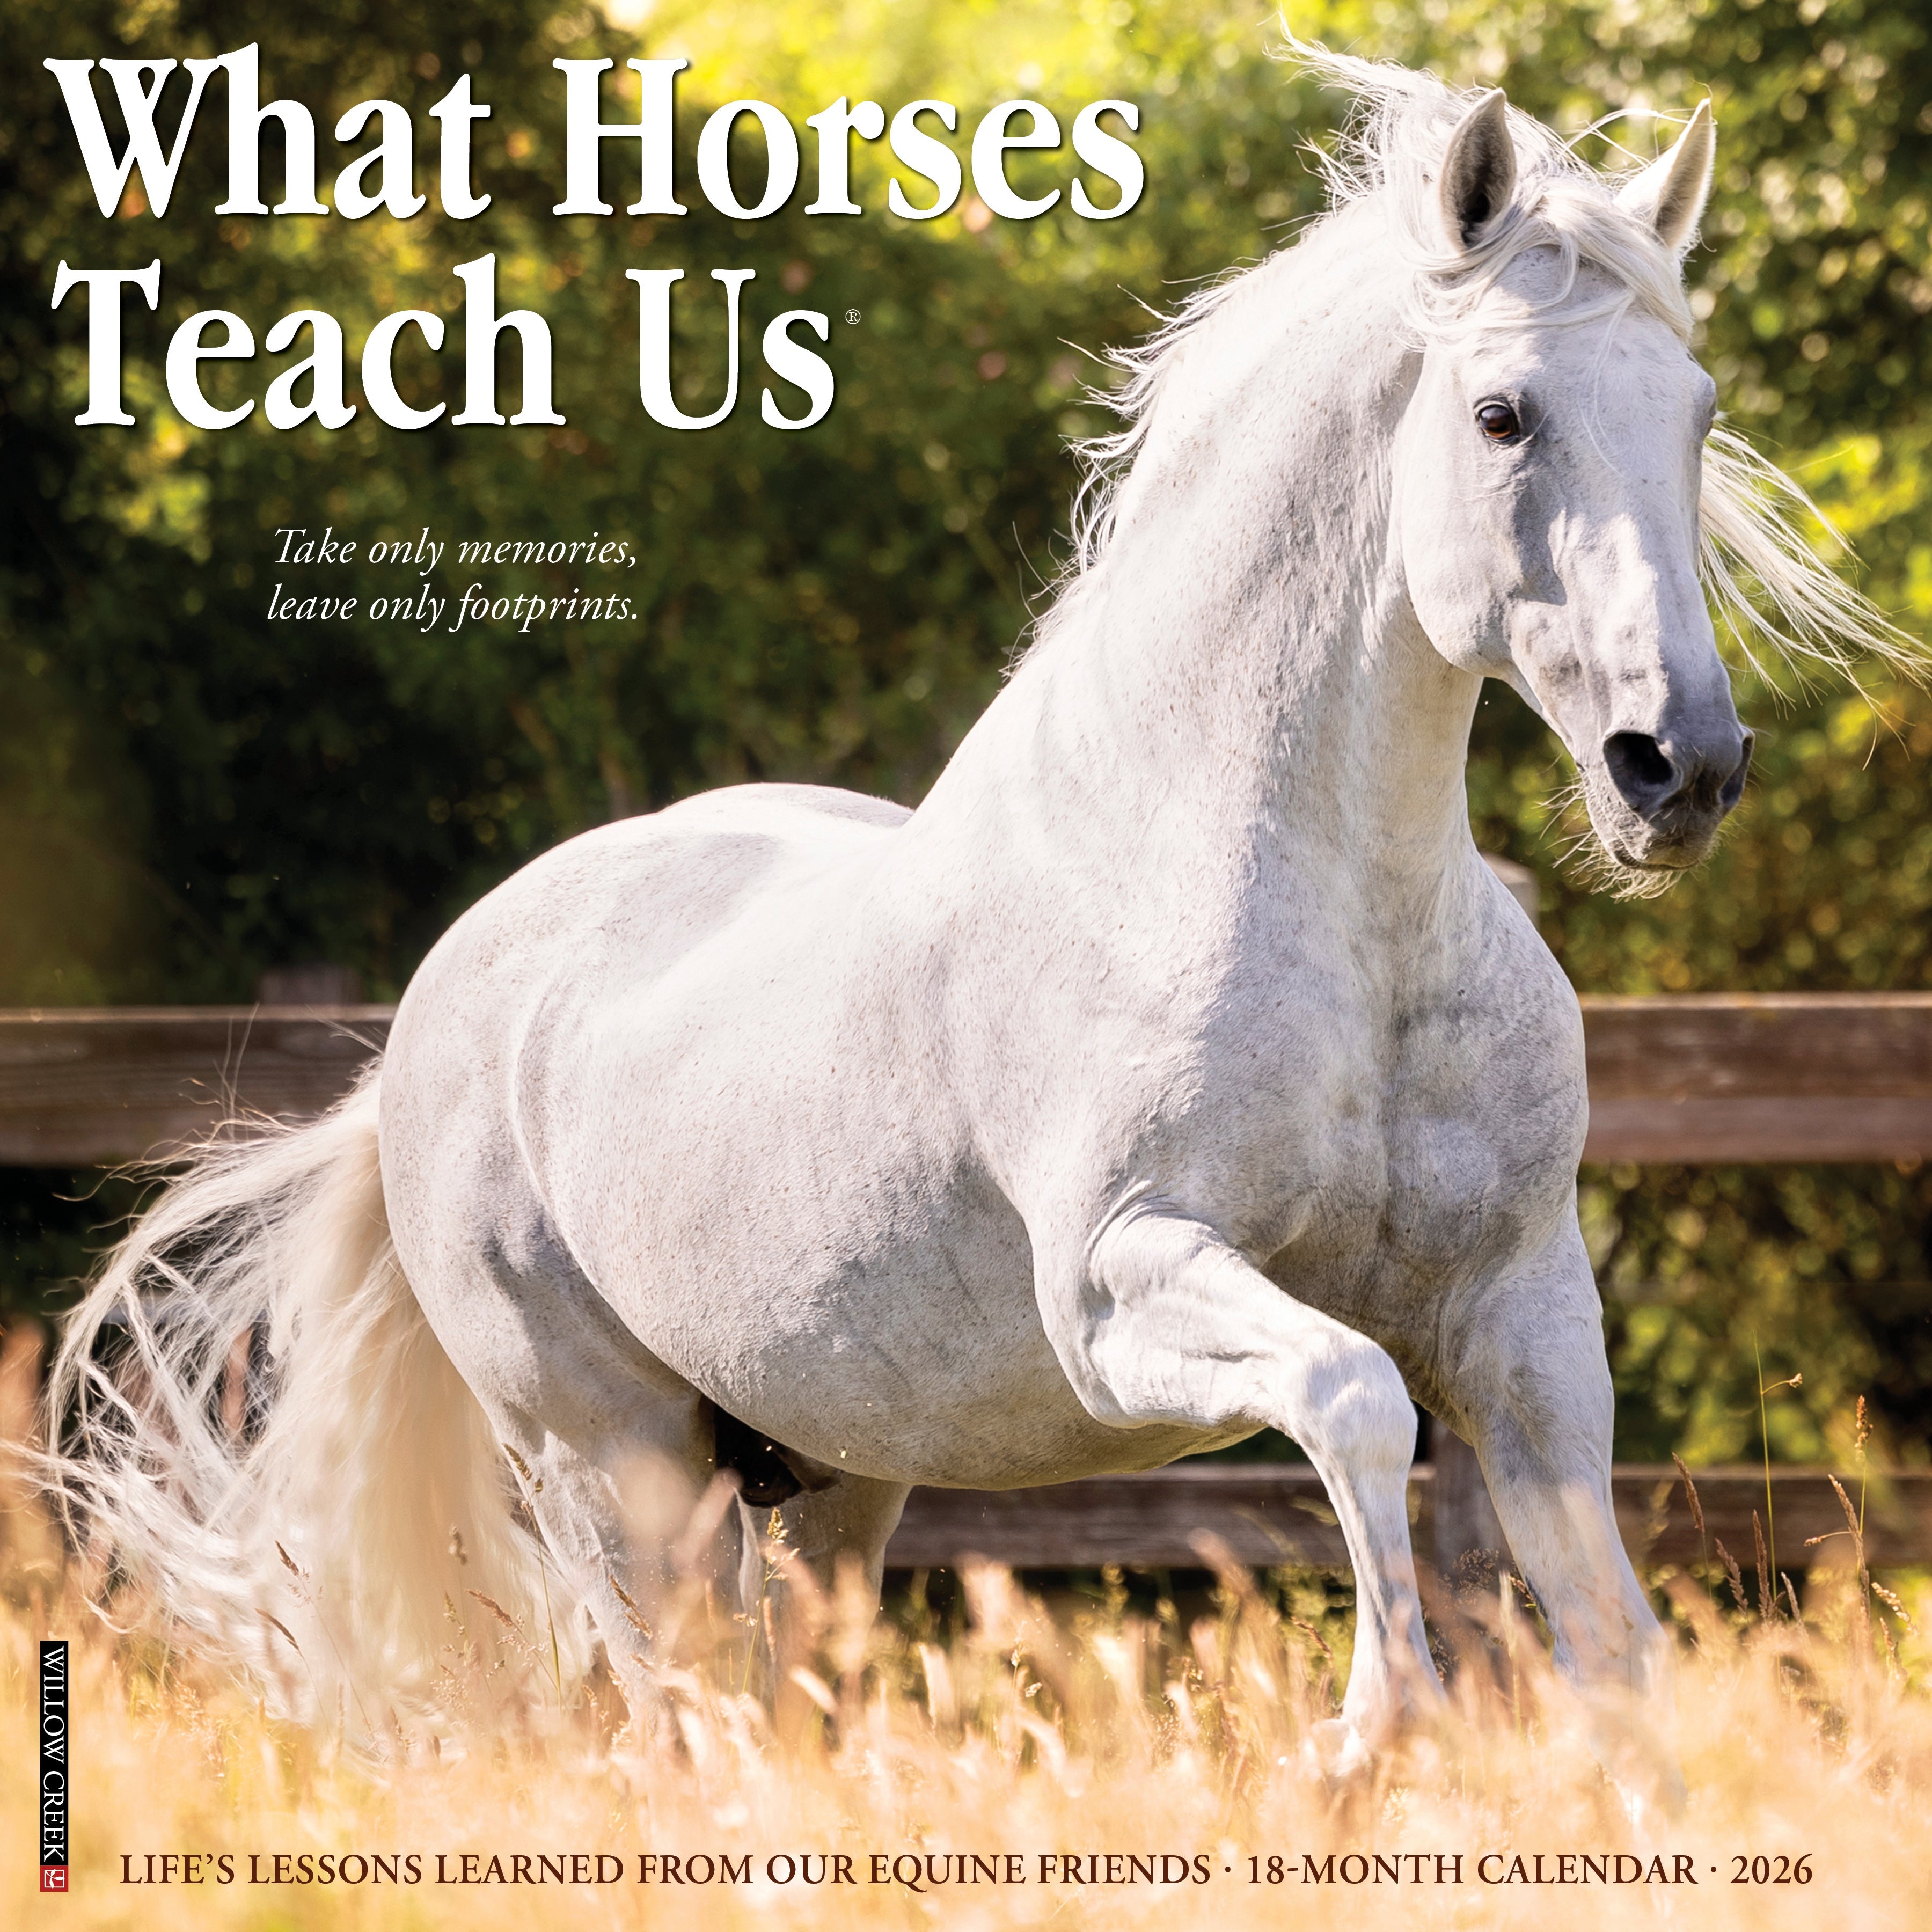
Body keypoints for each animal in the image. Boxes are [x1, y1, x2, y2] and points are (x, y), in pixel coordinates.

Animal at [47, 48, 1903, 1781]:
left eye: (1697, 410)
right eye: (1505, 414)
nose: (1681, 768)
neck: (1335, 920)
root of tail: (429, 1026)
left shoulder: (1522, 1314)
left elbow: (1607, 1628)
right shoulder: (1125, 1291)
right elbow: (1353, 1401)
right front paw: (1373, 1736)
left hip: (831, 1474)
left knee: (775, 1691)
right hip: (616, 1468)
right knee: (679, 1713)